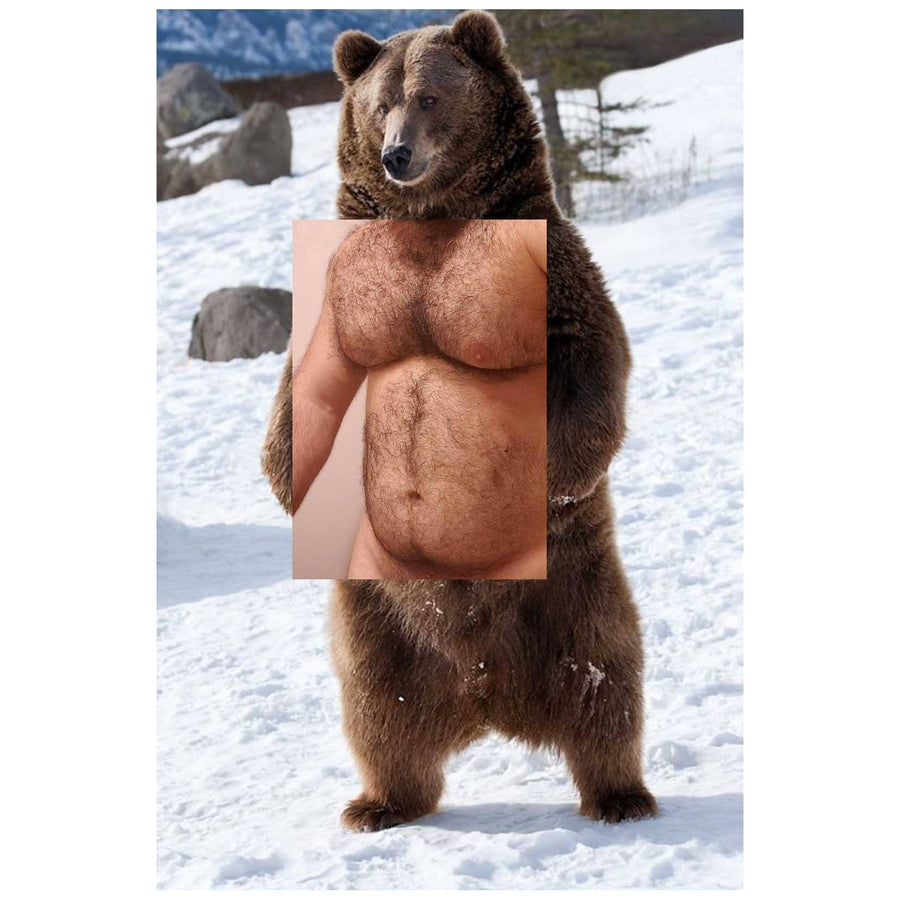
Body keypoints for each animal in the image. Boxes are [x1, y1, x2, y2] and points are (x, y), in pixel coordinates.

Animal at [261, 10, 658, 830]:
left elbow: (590, 348)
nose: (397, 154)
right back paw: (379, 803)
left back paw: (620, 793)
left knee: (607, 676)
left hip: (572, 587)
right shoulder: (347, 287)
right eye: (381, 103)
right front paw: (287, 483)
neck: (436, 218)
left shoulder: (548, 267)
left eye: (431, 97)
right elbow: (311, 378)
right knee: (377, 706)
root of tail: (486, 693)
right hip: (378, 607)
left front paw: (558, 475)